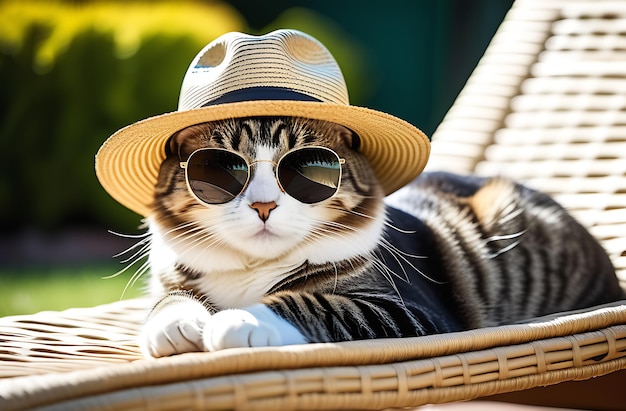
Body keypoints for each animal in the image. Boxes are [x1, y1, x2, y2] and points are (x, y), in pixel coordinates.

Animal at [139, 115, 620, 358]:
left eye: (306, 169)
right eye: (221, 170)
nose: (263, 205)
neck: (252, 267)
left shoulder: (411, 310)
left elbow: (309, 301)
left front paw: (241, 319)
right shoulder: (171, 276)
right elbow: (168, 298)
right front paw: (176, 322)